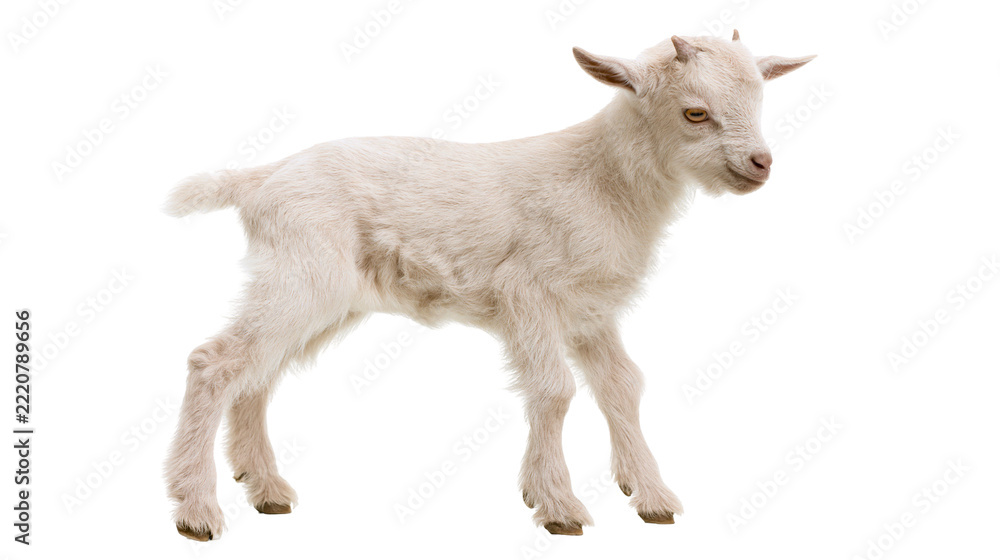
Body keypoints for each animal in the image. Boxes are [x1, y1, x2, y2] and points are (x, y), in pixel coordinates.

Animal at [164, 31, 814, 540]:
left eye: (760, 99)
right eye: (694, 112)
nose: (760, 164)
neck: (602, 180)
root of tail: (262, 177)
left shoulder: (590, 311)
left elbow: (622, 386)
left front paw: (650, 497)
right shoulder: (528, 293)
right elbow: (554, 390)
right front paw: (558, 506)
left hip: (323, 293)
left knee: (258, 373)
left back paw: (266, 490)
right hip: (303, 274)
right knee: (216, 362)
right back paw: (196, 510)